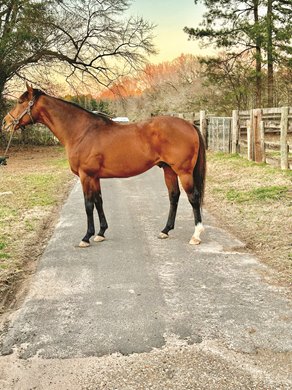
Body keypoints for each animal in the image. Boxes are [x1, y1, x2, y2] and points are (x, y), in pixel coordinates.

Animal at [2, 85, 208, 248]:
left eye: (20, 101)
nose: (5, 122)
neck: (82, 132)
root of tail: (189, 124)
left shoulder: (85, 175)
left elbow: (88, 205)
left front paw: (86, 237)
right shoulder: (95, 177)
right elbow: (98, 201)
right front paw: (100, 233)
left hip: (183, 172)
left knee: (193, 197)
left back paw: (196, 235)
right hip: (168, 170)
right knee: (174, 196)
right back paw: (165, 230)